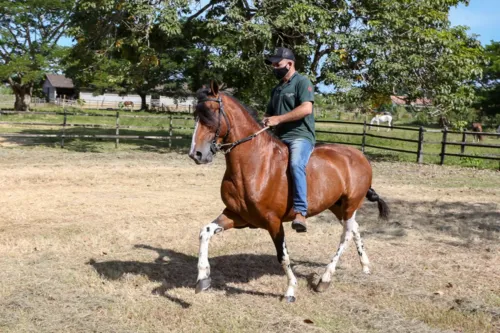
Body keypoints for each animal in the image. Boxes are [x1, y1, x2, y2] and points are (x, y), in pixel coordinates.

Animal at [189, 81, 388, 302]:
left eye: (211, 112)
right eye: (196, 114)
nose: (196, 154)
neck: (255, 164)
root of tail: (359, 156)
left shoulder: (273, 221)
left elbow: (282, 256)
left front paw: (291, 289)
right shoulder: (237, 215)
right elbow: (204, 232)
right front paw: (202, 279)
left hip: (351, 204)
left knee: (345, 235)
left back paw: (325, 279)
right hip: (337, 206)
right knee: (354, 229)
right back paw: (365, 266)